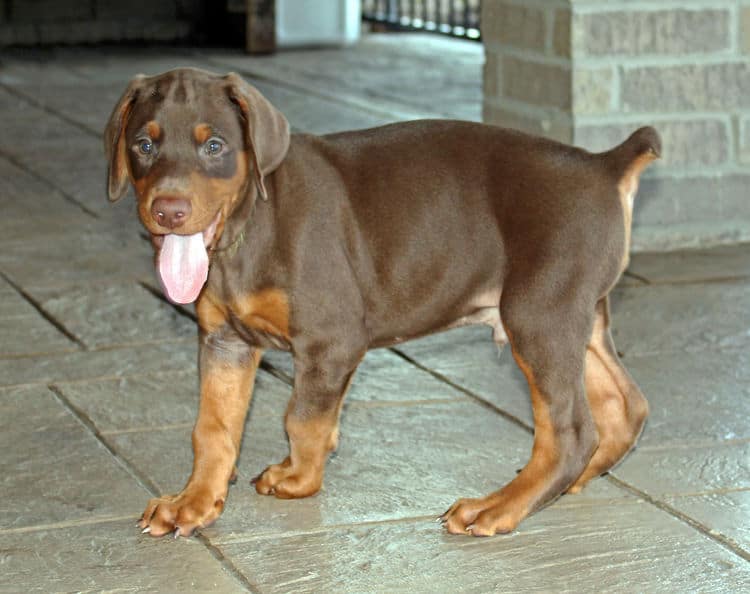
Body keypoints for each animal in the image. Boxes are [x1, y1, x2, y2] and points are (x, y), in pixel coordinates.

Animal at [104, 67, 656, 536]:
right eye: (144, 145)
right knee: (625, 407)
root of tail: (604, 164)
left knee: (571, 432)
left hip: (537, 312)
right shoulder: (225, 343)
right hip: (576, 315)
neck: (247, 229)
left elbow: (302, 417)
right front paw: (193, 503)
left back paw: (497, 507)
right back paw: (570, 483)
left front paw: (299, 480)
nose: (168, 211)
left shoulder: (332, 338)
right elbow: (213, 428)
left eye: (215, 145)